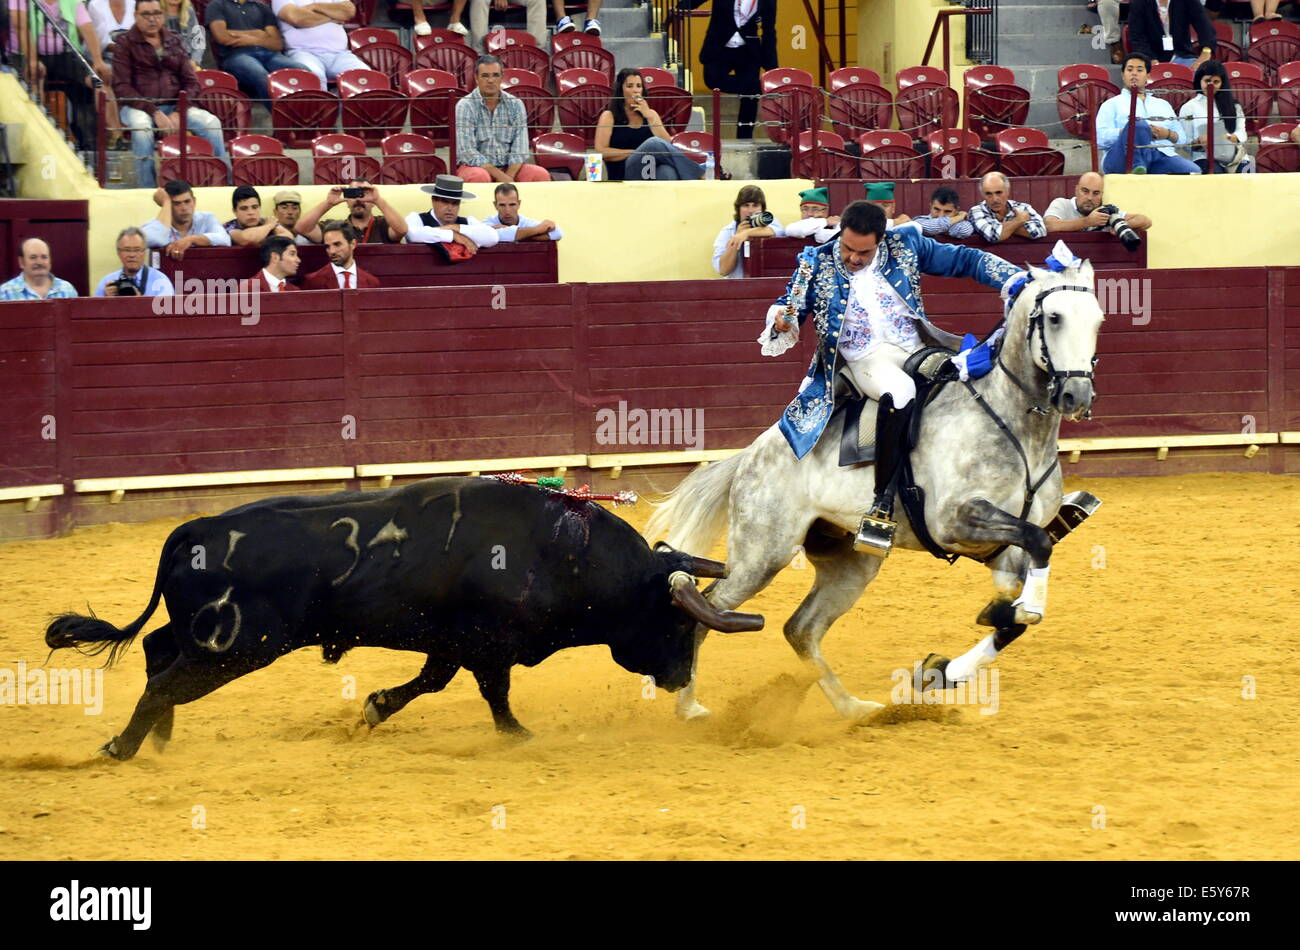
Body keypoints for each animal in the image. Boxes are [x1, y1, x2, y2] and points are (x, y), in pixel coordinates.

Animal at [48, 478, 759, 764]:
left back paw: (158, 741)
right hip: (234, 645)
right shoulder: (488, 644)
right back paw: (123, 747)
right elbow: (492, 693)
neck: (562, 549)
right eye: (677, 626)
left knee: (156, 655)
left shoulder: (454, 643)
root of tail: (192, 529)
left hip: (200, 632)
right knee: (165, 679)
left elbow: (433, 680)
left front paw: (375, 707)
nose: (681, 683)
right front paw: (519, 736)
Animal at [644, 259, 1102, 722]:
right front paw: (1017, 612)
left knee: (801, 628)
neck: (1019, 430)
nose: (1076, 395)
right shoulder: (955, 520)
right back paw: (690, 707)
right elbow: (1038, 548)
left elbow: (1015, 614)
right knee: (707, 609)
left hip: (850, 563)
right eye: (1054, 317)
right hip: (761, 556)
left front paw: (940, 670)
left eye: (1099, 318)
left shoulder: (1004, 547)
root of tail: (752, 454)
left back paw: (852, 707)